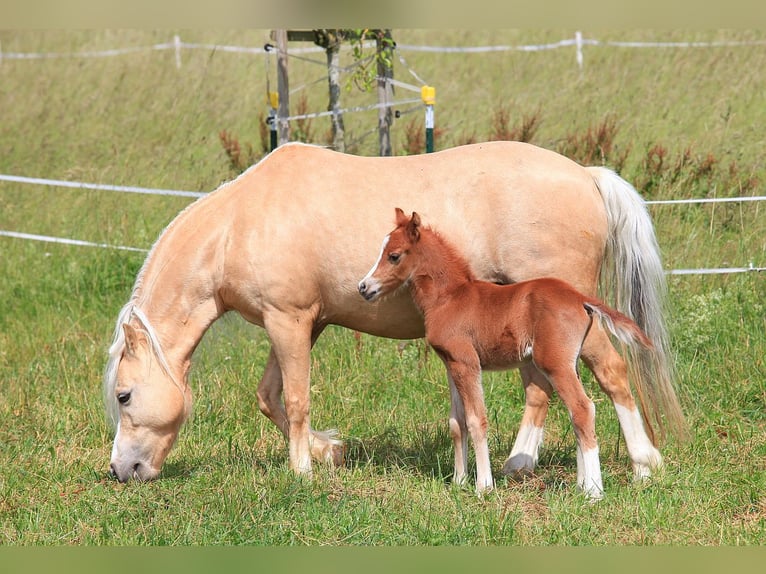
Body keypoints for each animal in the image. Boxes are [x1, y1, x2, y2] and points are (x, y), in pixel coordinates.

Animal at [356, 209, 656, 502]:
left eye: (394, 255)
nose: (363, 287)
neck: (450, 298)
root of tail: (580, 298)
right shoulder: (452, 364)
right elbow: (457, 422)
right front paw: (458, 482)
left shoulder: (467, 363)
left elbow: (476, 420)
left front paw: (483, 487)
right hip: (569, 363)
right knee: (577, 412)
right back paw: (582, 485)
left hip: (555, 364)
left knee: (583, 408)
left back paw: (594, 491)